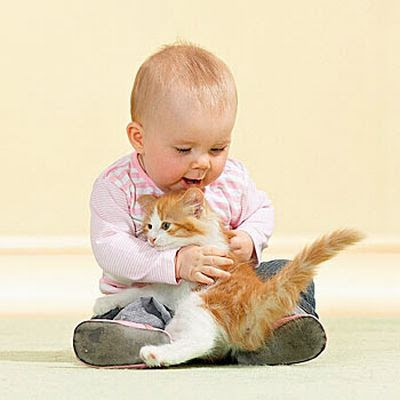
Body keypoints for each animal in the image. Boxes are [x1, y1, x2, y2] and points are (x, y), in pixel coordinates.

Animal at [93, 188, 362, 368]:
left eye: (167, 225)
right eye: (149, 226)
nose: (151, 240)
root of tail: (258, 296)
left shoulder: (179, 286)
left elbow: (142, 289)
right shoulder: (166, 288)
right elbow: (139, 289)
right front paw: (106, 300)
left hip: (200, 302)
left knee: (201, 341)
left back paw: (156, 354)